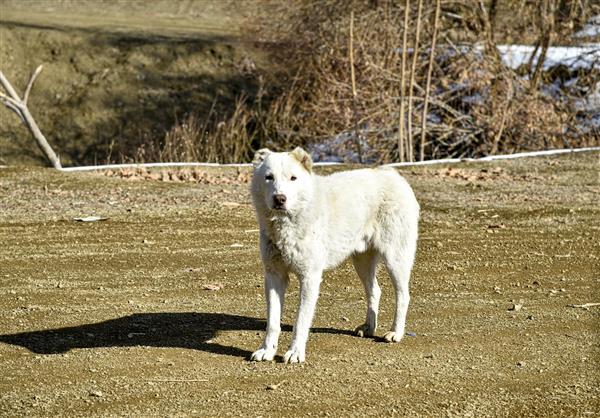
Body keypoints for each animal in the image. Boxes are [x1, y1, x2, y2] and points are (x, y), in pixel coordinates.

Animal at [248, 148, 418, 362]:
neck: (287, 224)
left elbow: (300, 321)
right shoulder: (274, 276)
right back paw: (368, 327)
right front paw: (266, 350)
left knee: (403, 296)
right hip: (362, 262)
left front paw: (295, 353)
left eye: (293, 178)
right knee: (375, 291)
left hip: (396, 260)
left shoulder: (310, 278)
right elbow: (272, 322)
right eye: (269, 177)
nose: (280, 199)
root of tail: (394, 175)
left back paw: (396, 332)